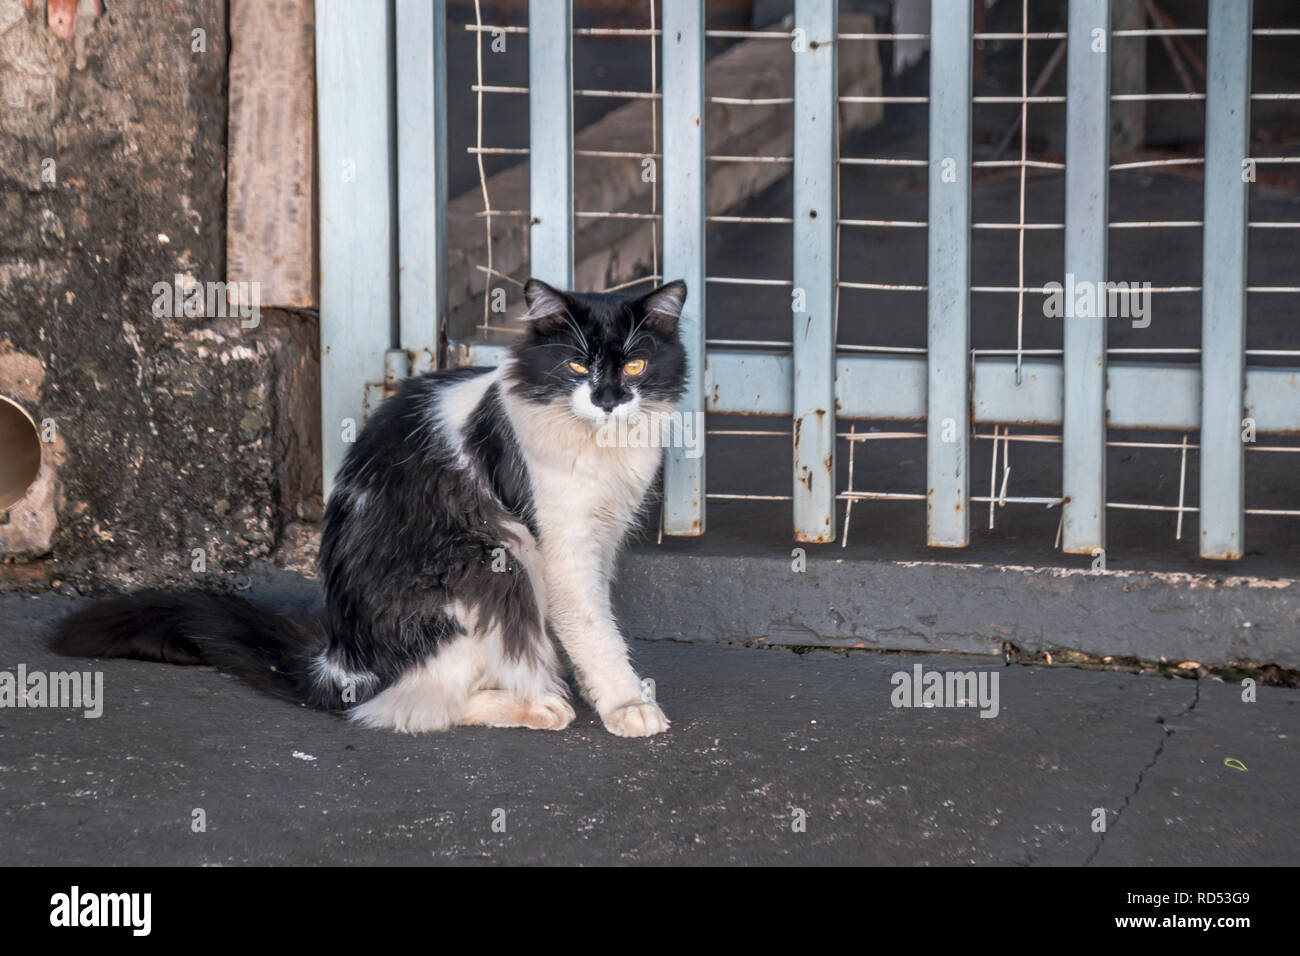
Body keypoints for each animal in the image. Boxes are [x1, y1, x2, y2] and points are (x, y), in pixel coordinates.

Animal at [53, 277, 691, 738]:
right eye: (576, 366)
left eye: (635, 366)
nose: (608, 401)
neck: (604, 450)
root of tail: (339, 662)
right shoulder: (560, 547)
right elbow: (594, 632)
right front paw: (627, 705)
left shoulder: (601, 541)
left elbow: (589, 628)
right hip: (489, 563)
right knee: (407, 708)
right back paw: (540, 705)